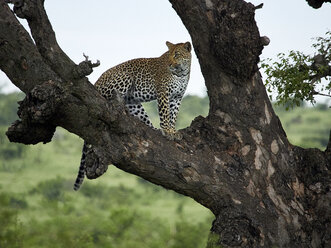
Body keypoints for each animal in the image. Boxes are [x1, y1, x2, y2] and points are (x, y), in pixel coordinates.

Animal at [72, 41, 192, 191]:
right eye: (168, 55)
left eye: (177, 54)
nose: (170, 64)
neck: (181, 74)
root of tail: (96, 83)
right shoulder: (163, 93)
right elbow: (165, 114)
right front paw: (168, 131)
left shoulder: (177, 98)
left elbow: (173, 115)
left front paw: (173, 131)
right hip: (124, 78)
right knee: (106, 99)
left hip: (134, 104)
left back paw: (155, 130)